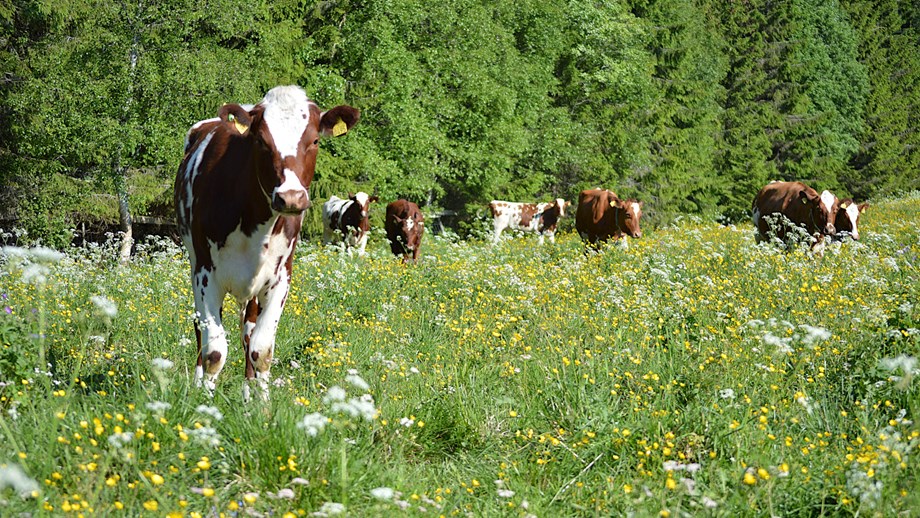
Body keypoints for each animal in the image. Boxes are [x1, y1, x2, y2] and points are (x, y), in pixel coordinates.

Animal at [174, 85, 362, 402]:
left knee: (248, 332)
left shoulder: (280, 277)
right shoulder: (205, 273)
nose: (291, 197)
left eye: (314, 140)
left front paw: (261, 405)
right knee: (202, 328)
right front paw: (204, 405)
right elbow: (214, 350)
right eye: (261, 141)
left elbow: (261, 350)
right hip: (194, 262)